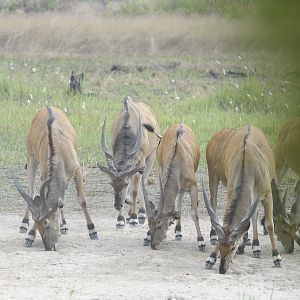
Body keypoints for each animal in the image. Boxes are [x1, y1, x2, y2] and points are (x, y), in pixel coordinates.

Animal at [13, 106, 97, 250]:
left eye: (46, 223)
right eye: (38, 224)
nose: (49, 247)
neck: (58, 153)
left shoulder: (77, 170)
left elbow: (82, 200)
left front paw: (92, 230)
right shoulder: (44, 176)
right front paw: (30, 236)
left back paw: (64, 226)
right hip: (31, 157)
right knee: (31, 190)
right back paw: (24, 223)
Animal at [98, 98, 159, 227]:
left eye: (125, 183)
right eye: (111, 184)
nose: (117, 205)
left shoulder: (140, 162)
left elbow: (135, 189)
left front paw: (134, 218)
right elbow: (130, 190)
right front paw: (120, 219)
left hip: (151, 156)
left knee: (143, 182)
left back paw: (141, 213)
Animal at [142, 123, 205, 251]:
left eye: (160, 225)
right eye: (149, 225)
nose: (153, 245)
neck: (178, 159)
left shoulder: (193, 186)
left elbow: (194, 213)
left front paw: (201, 242)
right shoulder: (164, 179)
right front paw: (147, 236)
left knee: (180, 202)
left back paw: (178, 231)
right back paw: (177, 229)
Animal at [203, 125, 282, 274]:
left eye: (232, 247)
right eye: (220, 246)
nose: (222, 269)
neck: (248, 164)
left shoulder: (267, 194)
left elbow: (269, 224)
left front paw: (277, 257)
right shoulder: (230, 191)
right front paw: (211, 258)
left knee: (253, 216)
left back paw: (255, 246)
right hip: (213, 176)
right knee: (214, 203)